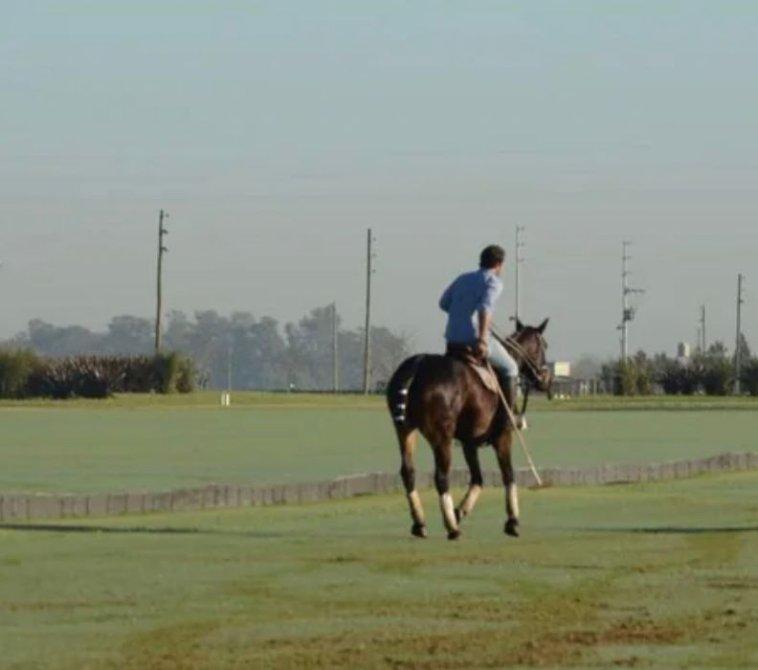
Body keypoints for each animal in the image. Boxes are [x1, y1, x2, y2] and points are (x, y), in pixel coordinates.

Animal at [385, 319, 552, 540]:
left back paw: (421, 523)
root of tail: (417, 365)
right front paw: (512, 522)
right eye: (544, 346)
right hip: (441, 435)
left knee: (408, 472)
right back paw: (452, 528)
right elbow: (508, 474)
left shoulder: (468, 441)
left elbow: (477, 478)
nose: (546, 380)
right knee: (441, 476)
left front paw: (460, 511)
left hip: (404, 429)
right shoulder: (503, 436)